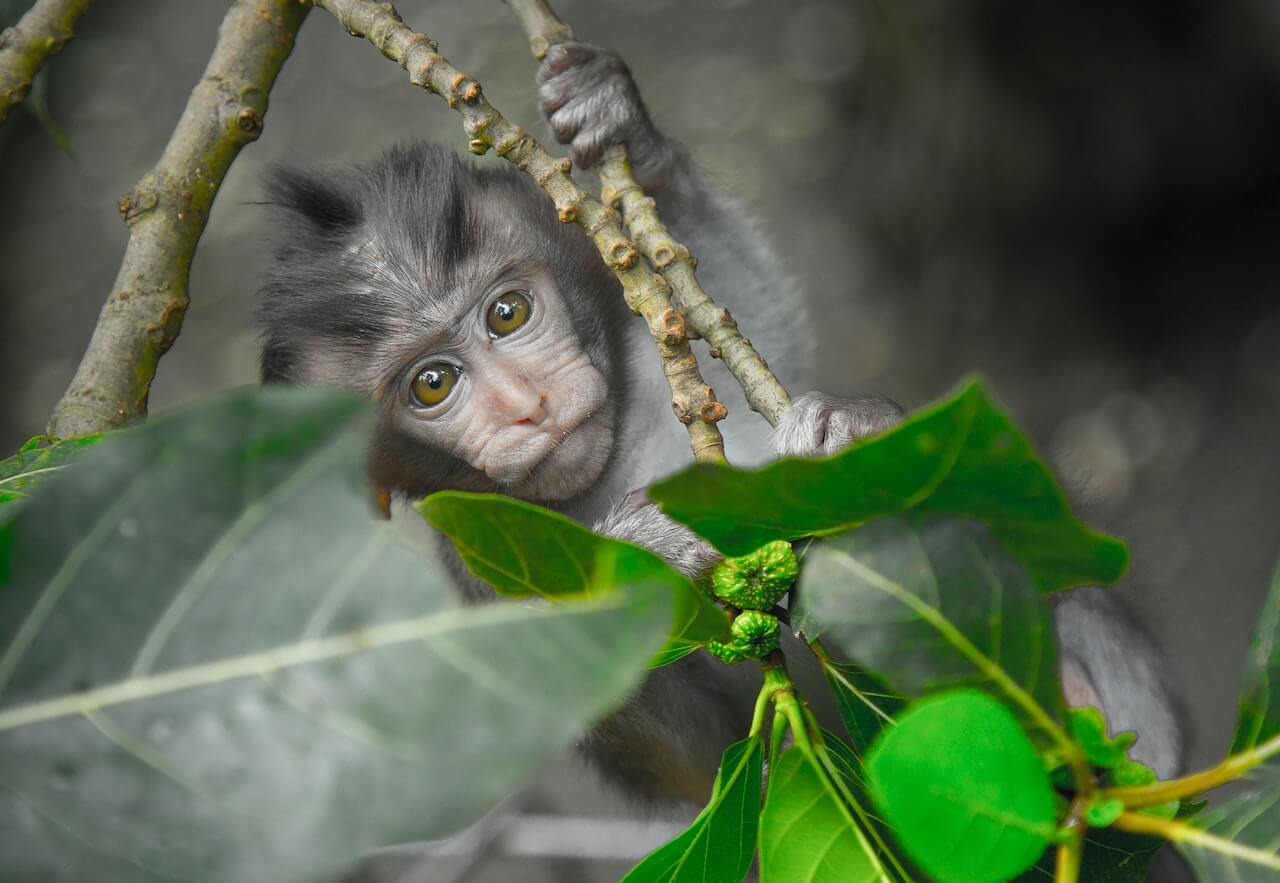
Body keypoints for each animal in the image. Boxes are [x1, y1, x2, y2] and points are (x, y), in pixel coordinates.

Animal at [254, 42, 1182, 813]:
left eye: (508, 314)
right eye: (433, 384)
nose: (526, 404)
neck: (614, 460)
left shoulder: (651, 351)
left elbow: (734, 305)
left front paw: (617, 117)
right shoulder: (471, 569)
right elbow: (705, 760)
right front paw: (643, 554)